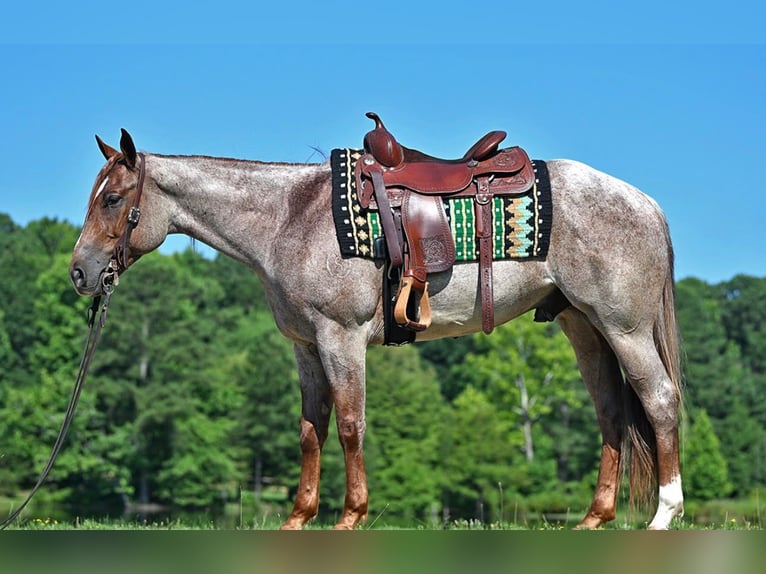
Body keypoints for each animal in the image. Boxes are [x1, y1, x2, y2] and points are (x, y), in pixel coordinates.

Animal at [69, 126, 684, 530]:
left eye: (115, 198)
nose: (80, 272)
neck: (290, 219)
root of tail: (647, 204)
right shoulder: (305, 347)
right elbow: (310, 431)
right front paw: (299, 518)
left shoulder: (340, 337)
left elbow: (348, 425)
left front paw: (351, 516)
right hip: (585, 328)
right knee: (611, 414)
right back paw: (594, 518)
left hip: (625, 329)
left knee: (659, 401)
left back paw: (664, 515)